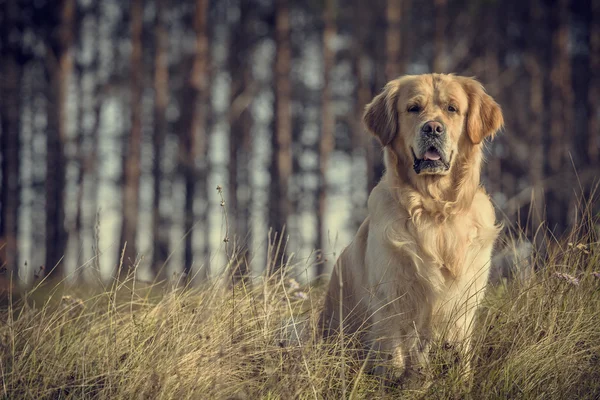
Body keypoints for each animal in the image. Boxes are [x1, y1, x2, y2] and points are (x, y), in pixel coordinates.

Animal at [322, 73, 504, 386]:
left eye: (452, 109)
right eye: (413, 108)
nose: (432, 128)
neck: (435, 212)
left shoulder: (465, 301)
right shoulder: (392, 297)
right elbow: (396, 354)